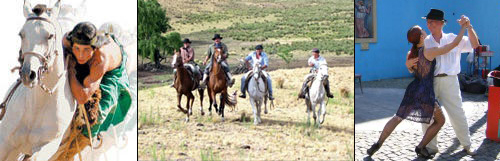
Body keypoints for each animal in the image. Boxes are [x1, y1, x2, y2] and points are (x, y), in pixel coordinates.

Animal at [0, 0, 76, 160]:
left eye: (50, 36)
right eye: (21, 34)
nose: (28, 74)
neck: (36, 107)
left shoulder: (46, 147)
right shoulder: (5, 143)